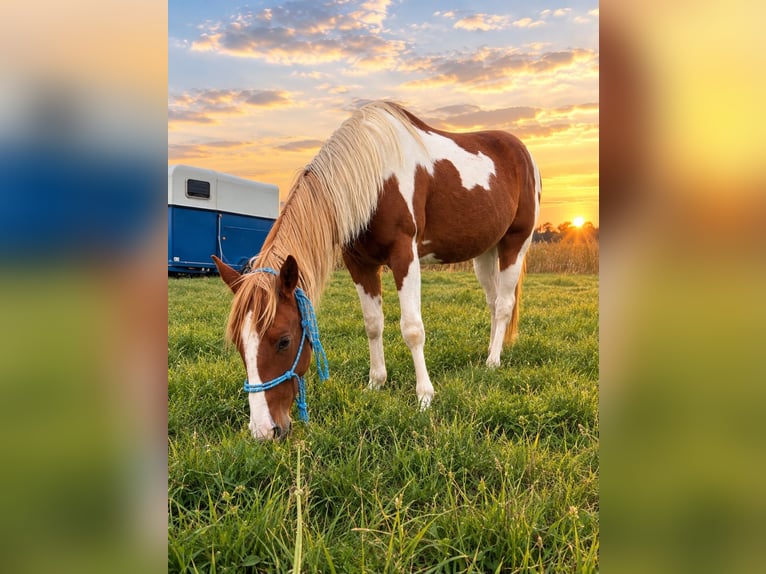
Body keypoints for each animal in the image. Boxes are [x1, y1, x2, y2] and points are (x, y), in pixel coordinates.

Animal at [213, 101, 541, 440]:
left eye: (284, 341)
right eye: (239, 343)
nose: (264, 430)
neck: (376, 177)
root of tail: (521, 150)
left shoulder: (404, 256)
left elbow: (412, 328)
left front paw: (424, 396)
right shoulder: (360, 264)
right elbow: (373, 324)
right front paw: (376, 382)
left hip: (515, 243)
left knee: (504, 305)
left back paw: (493, 361)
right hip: (485, 253)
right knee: (492, 302)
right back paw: (490, 352)